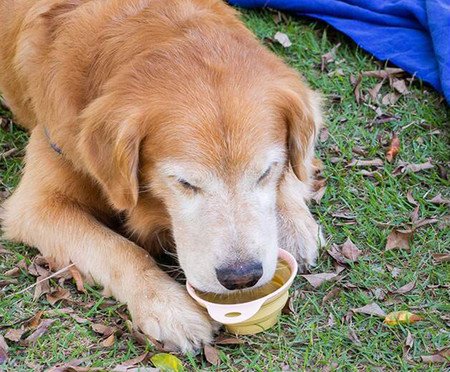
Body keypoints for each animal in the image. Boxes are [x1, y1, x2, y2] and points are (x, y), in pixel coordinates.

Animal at [0, 0, 324, 352]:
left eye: (266, 172)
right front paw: (166, 304)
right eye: (185, 183)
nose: (241, 277)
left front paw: (292, 223)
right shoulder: (37, 204)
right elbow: (118, 249)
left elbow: (297, 166)